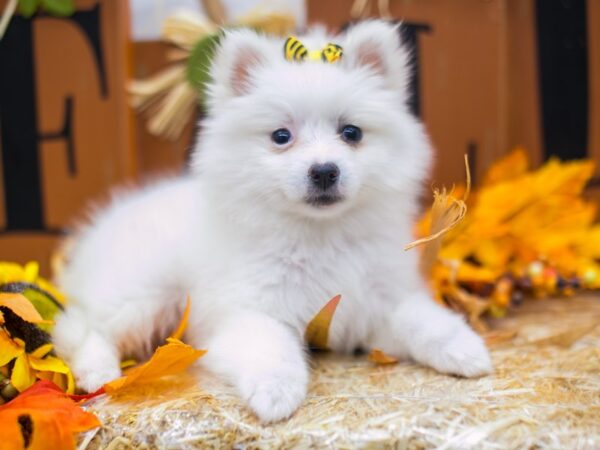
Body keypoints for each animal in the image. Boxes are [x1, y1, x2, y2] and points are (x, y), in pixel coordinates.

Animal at [52, 20, 492, 422]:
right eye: (281, 136)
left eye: (351, 133)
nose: (324, 171)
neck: (319, 236)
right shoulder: (247, 311)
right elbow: (270, 349)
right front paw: (275, 391)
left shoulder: (377, 301)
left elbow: (422, 319)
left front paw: (464, 348)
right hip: (145, 291)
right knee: (83, 326)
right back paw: (99, 372)